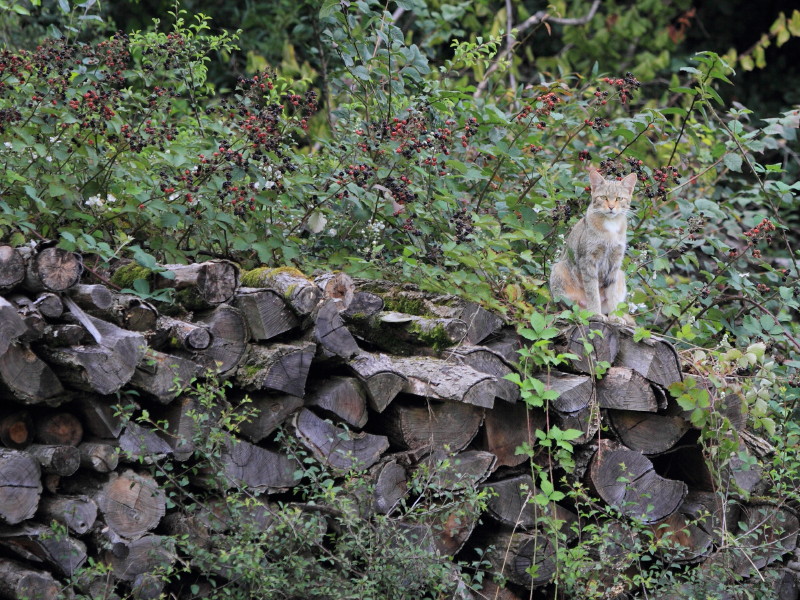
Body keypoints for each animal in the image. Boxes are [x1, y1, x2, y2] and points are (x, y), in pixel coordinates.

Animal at [552, 166, 636, 322]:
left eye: (619, 198)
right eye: (603, 197)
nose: (611, 207)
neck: (611, 226)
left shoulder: (615, 263)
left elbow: (612, 294)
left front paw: (615, 317)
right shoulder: (588, 260)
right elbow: (592, 292)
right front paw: (595, 314)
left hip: (621, 275)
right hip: (558, 269)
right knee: (571, 309)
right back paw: (585, 313)